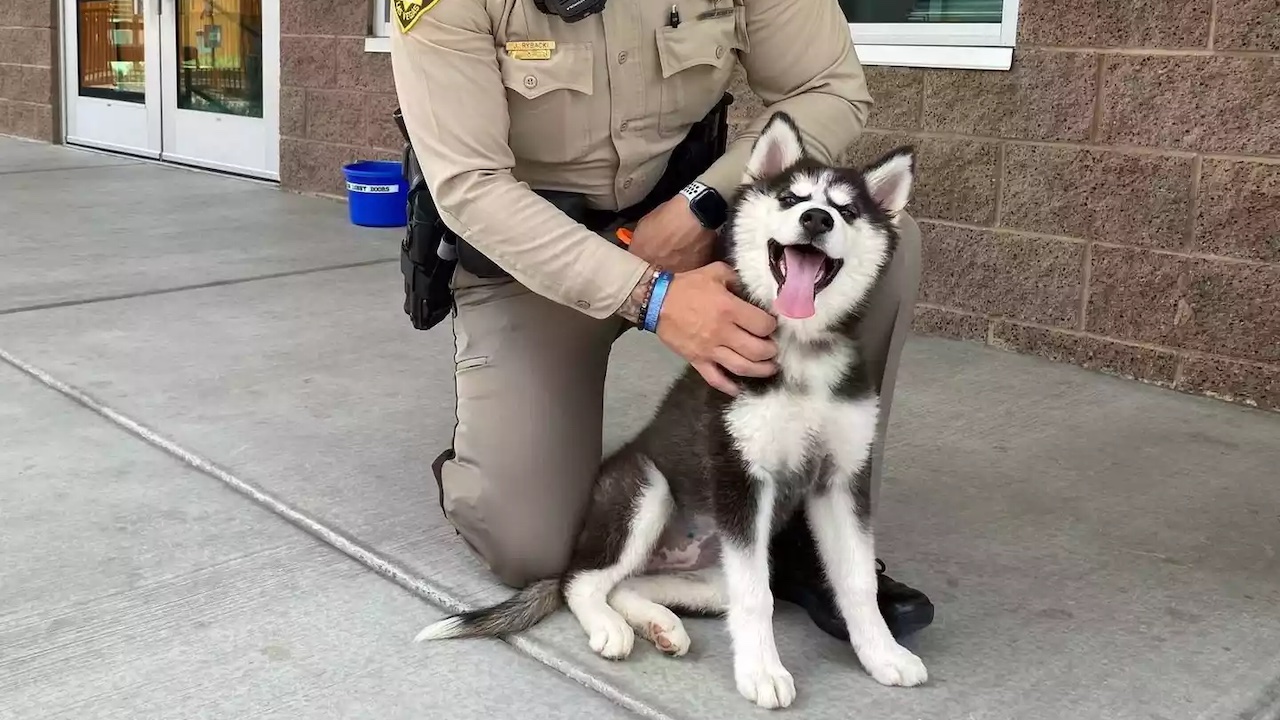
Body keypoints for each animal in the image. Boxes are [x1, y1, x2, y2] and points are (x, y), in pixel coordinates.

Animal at [414, 110, 926, 707]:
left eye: (846, 210)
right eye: (791, 199)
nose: (817, 219)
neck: (801, 350)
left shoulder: (841, 479)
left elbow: (856, 580)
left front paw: (883, 654)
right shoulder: (739, 475)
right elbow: (758, 598)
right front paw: (762, 672)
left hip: (713, 573)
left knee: (630, 583)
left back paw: (659, 624)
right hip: (647, 489)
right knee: (579, 581)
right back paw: (611, 627)